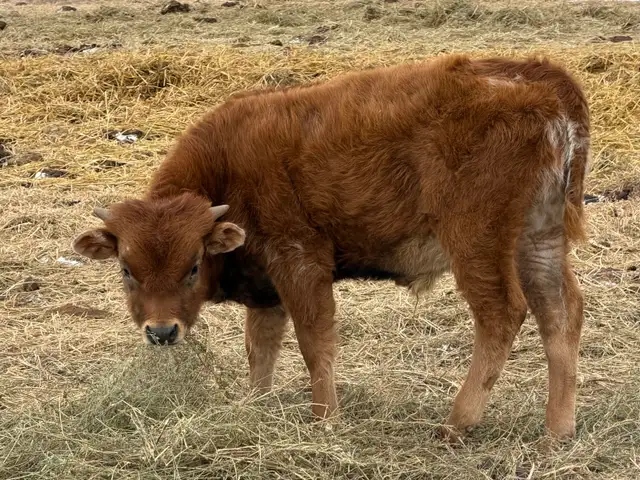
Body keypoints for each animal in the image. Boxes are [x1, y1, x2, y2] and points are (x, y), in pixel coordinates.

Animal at [71, 54, 590, 441]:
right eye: (126, 269)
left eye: (193, 265)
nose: (162, 332)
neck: (228, 165)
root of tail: (543, 79)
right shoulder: (266, 291)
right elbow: (260, 349)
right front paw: (254, 405)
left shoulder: (300, 264)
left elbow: (313, 342)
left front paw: (325, 419)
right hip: (538, 238)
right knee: (560, 313)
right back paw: (557, 431)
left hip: (475, 243)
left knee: (502, 314)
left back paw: (456, 424)